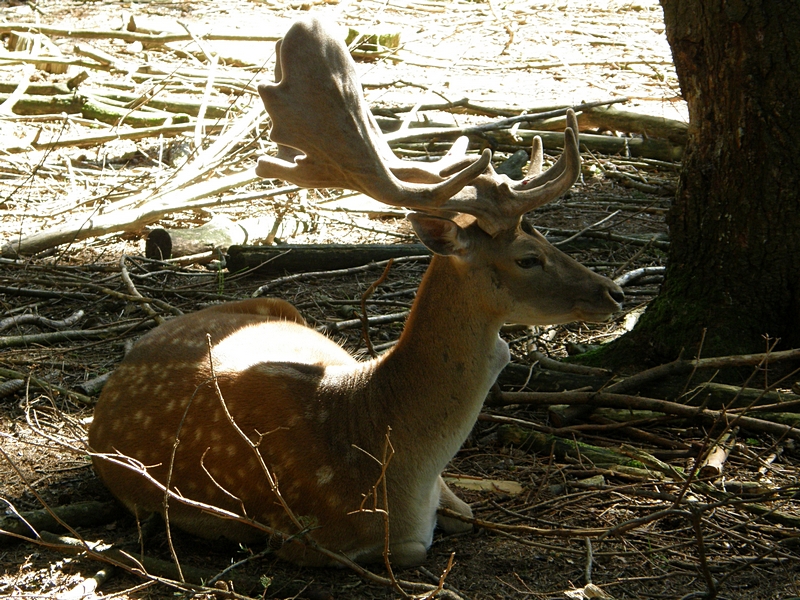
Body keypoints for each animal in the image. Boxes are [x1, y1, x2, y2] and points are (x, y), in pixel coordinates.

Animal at [89, 15, 624, 568]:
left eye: (547, 238)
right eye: (526, 257)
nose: (614, 293)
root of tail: (133, 352)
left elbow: (465, 511)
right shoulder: (304, 538)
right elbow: (412, 546)